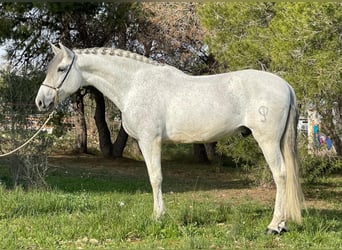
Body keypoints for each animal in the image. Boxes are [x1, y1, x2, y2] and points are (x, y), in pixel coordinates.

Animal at [35, 43, 304, 234]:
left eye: (61, 69)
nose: (41, 101)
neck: (135, 84)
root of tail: (286, 85)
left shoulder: (149, 141)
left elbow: (155, 178)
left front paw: (157, 217)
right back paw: (283, 224)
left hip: (267, 141)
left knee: (280, 175)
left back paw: (274, 225)